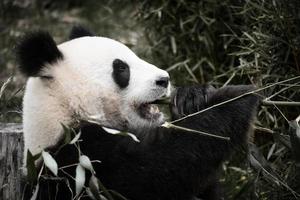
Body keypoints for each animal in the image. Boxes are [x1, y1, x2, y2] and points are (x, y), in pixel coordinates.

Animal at [17, 27, 260, 200]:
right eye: (121, 68)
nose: (164, 80)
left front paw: (192, 97)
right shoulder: (81, 161)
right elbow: (156, 171)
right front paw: (237, 98)